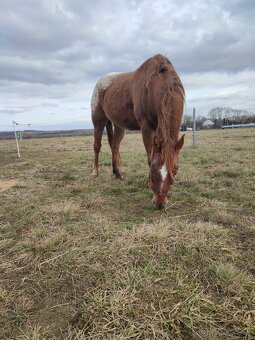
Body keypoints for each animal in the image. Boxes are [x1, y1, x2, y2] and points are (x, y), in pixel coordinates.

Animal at [90, 54, 184, 209]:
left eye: (175, 169)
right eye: (152, 170)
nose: (160, 204)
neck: (156, 83)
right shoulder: (146, 127)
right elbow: (149, 156)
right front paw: (147, 183)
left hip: (119, 126)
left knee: (114, 146)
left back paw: (118, 174)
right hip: (98, 121)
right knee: (97, 146)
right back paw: (95, 172)